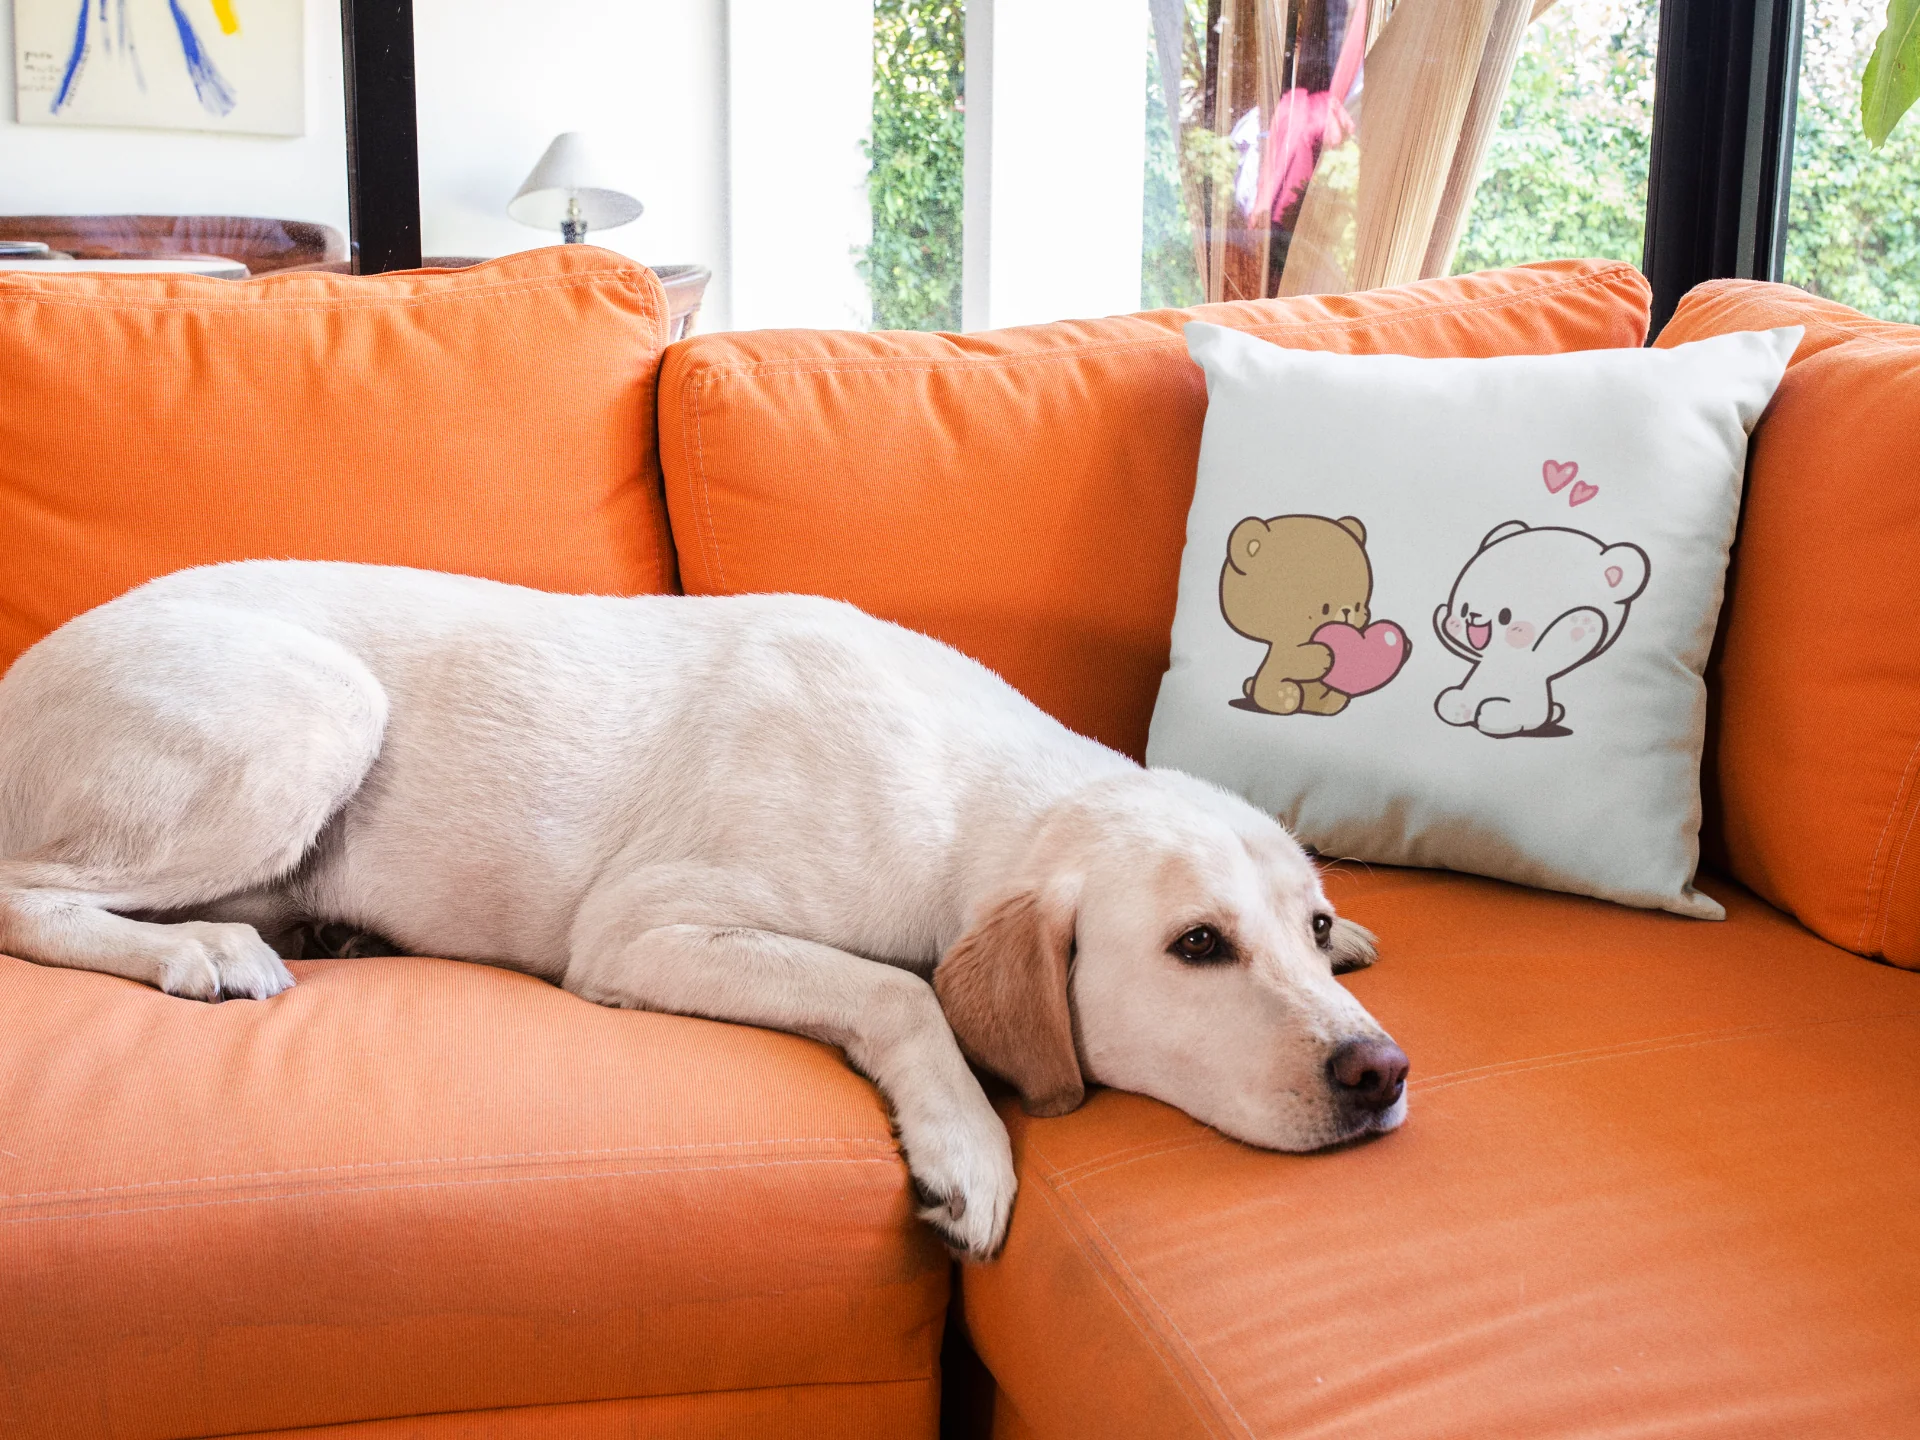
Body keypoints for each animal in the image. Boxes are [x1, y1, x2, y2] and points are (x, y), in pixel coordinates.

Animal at [1219, 513, 1373, 716]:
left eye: (1357, 605)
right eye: (1325, 608)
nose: (1347, 611)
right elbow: (1295, 659)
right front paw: (1324, 656)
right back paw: (1287, 697)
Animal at [1431, 520, 1650, 738]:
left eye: (1505, 616)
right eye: (1463, 608)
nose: (1473, 615)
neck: (1504, 658)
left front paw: (1582, 623)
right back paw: (1459, 707)